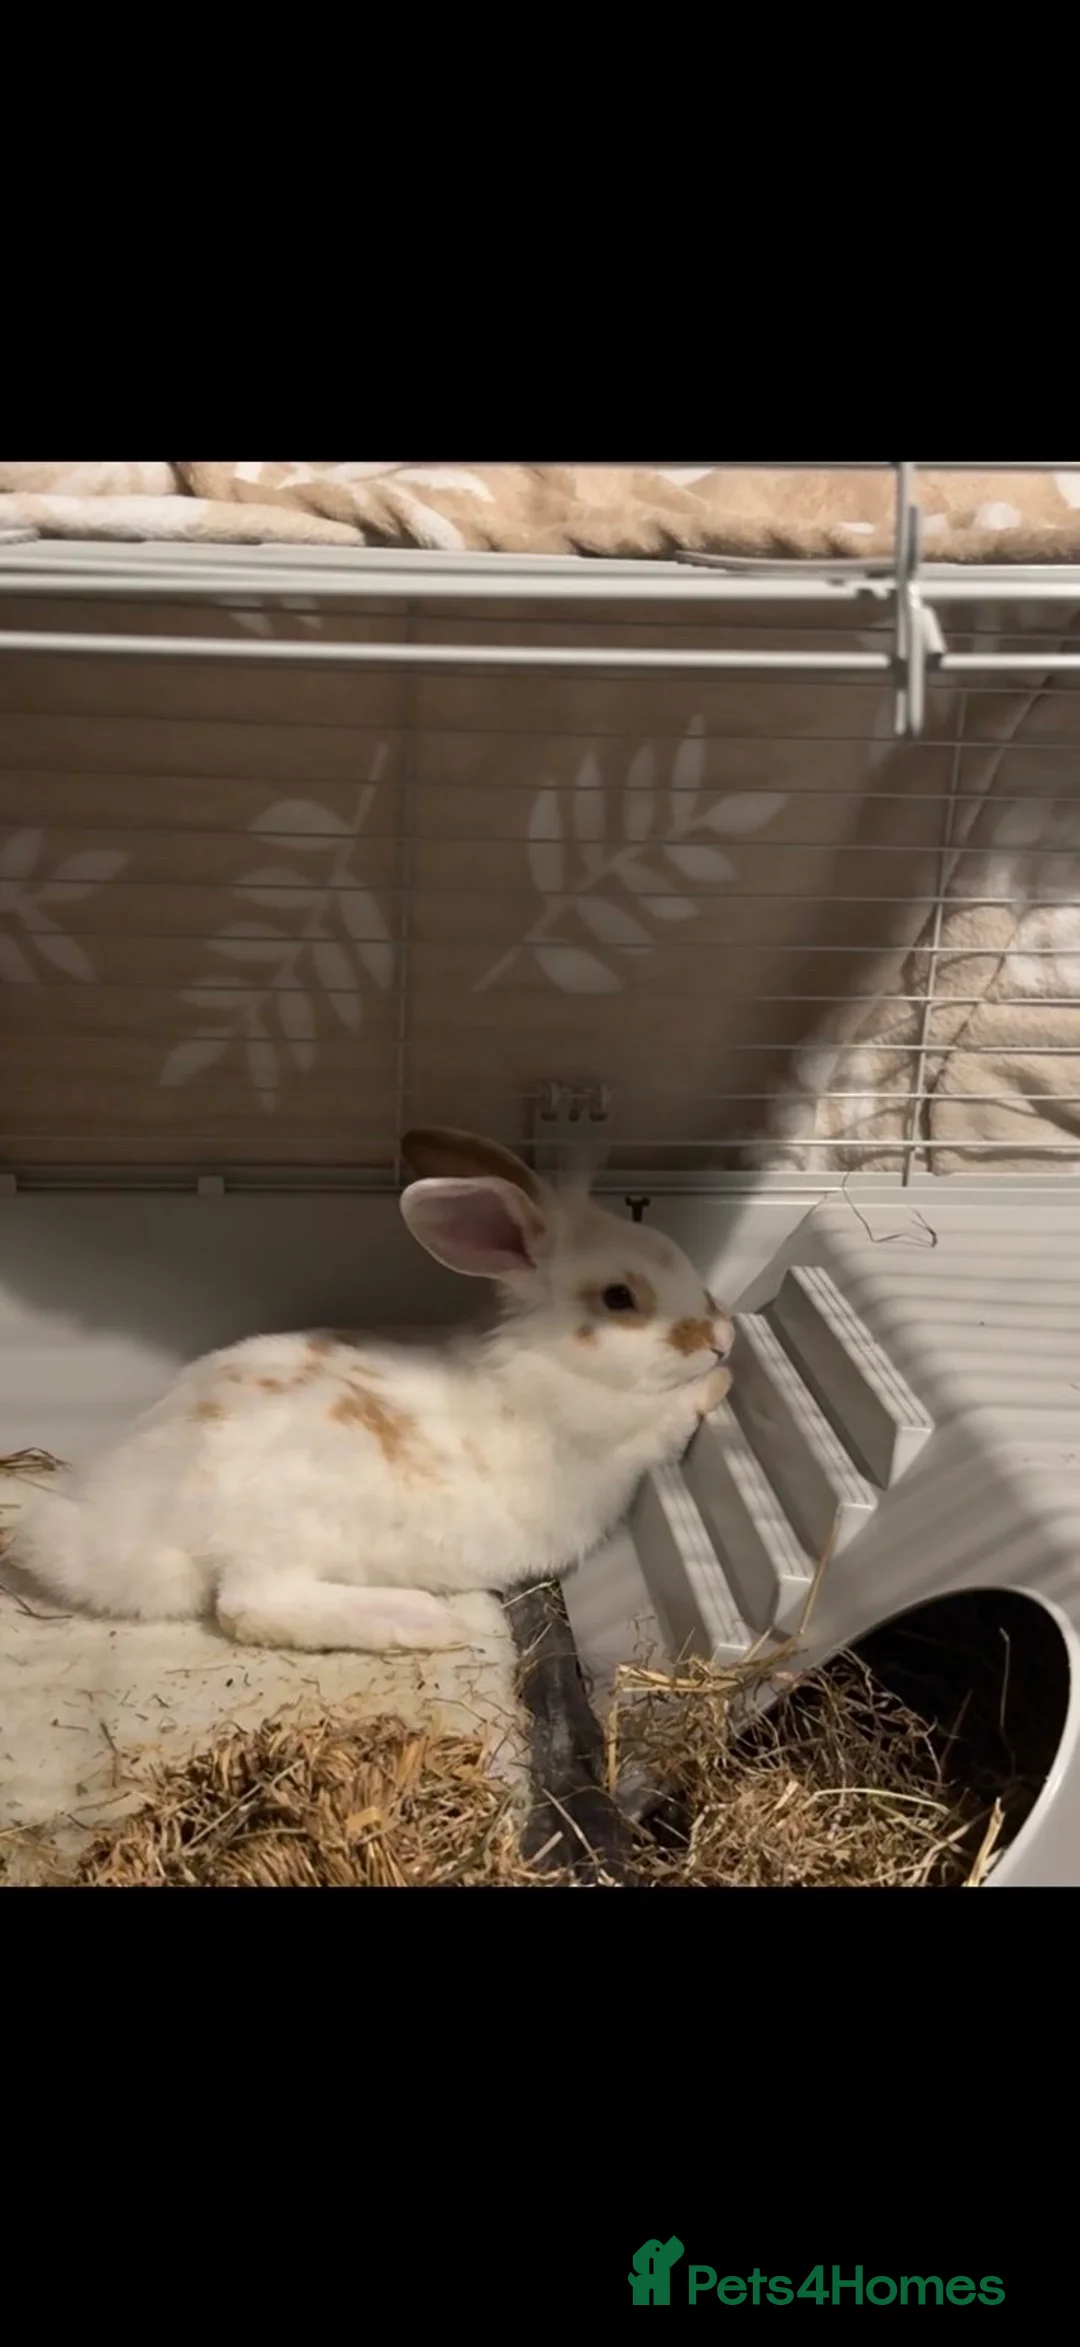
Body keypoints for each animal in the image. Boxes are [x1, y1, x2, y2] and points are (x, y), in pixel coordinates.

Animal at [10, 1126, 734, 1655]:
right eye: (620, 1298)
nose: (724, 1335)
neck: (548, 1358)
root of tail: (112, 1528)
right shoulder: (615, 1443)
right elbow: (670, 1420)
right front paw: (719, 1381)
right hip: (287, 1533)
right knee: (249, 1605)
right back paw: (425, 1622)